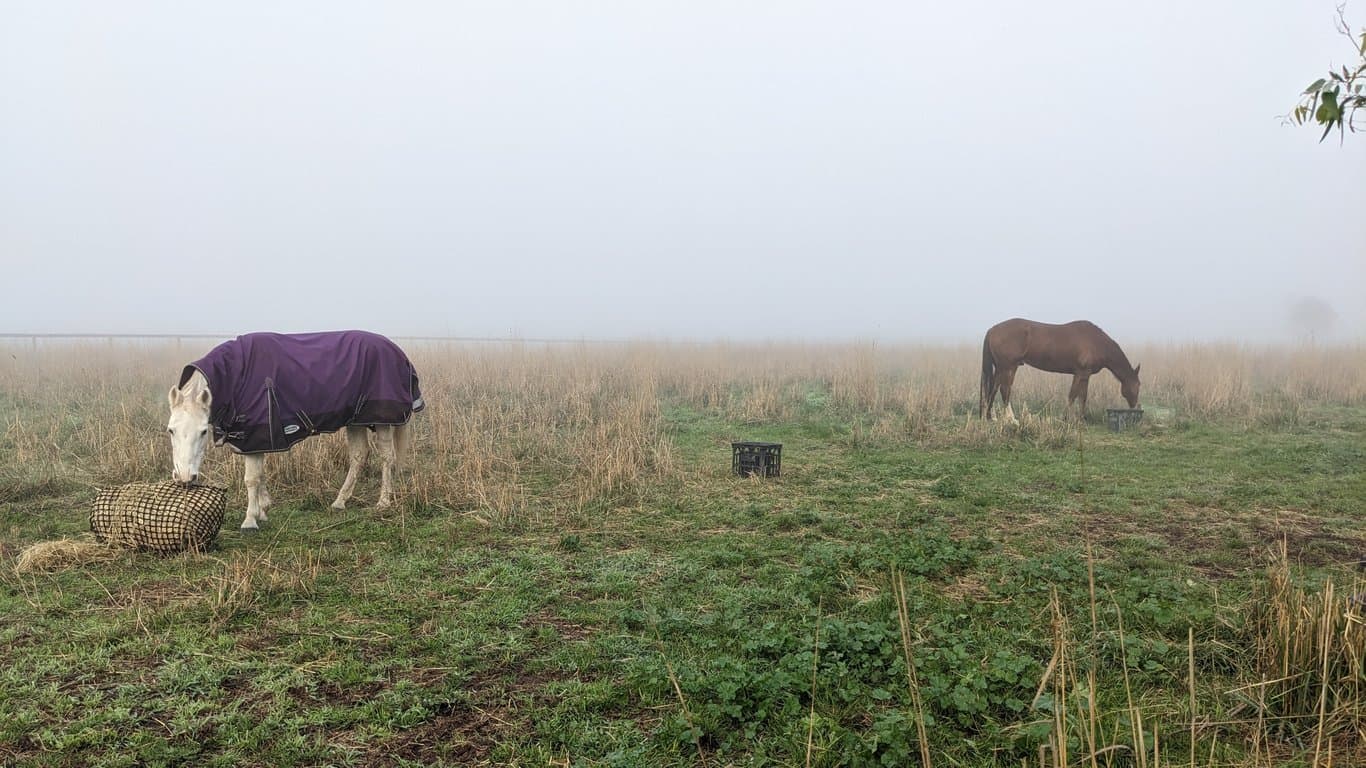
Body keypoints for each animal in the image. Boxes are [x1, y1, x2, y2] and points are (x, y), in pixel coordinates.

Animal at [167, 330, 425, 531]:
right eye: (171, 430)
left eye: (203, 431)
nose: (184, 478)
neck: (236, 375)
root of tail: (397, 351)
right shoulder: (257, 439)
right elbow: (260, 475)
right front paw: (263, 509)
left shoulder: (257, 435)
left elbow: (251, 478)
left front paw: (250, 519)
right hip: (356, 421)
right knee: (359, 456)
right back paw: (340, 501)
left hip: (381, 419)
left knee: (387, 457)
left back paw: (383, 502)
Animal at [979, 318, 1140, 423]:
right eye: (1138, 385)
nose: (1134, 406)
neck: (1096, 342)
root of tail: (992, 330)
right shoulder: (1080, 373)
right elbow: (1072, 396)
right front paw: (1066, 418)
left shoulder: (1085, 375)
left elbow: (1083, 396)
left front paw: (1081, 418)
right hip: (1009, 367)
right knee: (1005, 390)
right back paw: (1011, 419)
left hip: (1001, 368)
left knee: (993, 389)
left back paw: (990, 416)